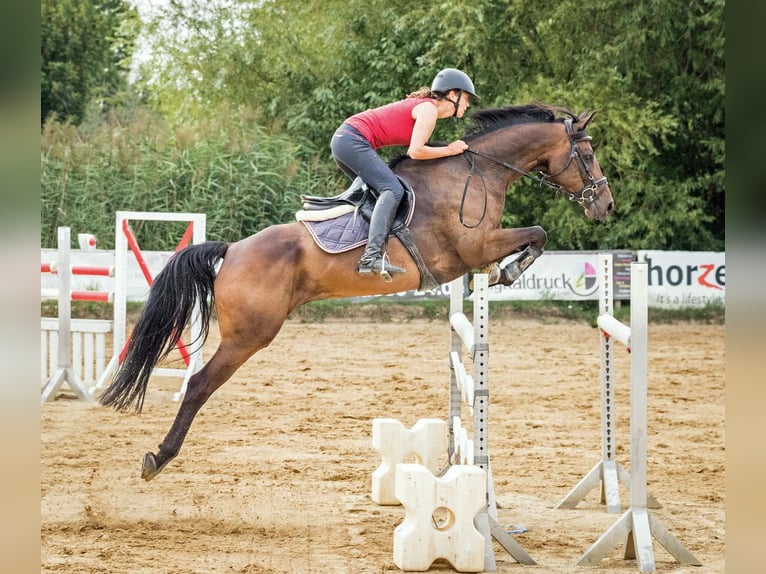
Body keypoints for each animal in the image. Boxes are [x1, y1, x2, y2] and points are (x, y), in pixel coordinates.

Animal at [100, 102, 616, 482]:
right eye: (589, 156)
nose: (606, 206)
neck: (478, 173)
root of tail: (233, 250)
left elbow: (536, 235)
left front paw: (503, 274)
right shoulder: (475, 244)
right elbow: (538, 233)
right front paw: (508, 272)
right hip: (250, 335)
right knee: (198, 386)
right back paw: (158, 458)